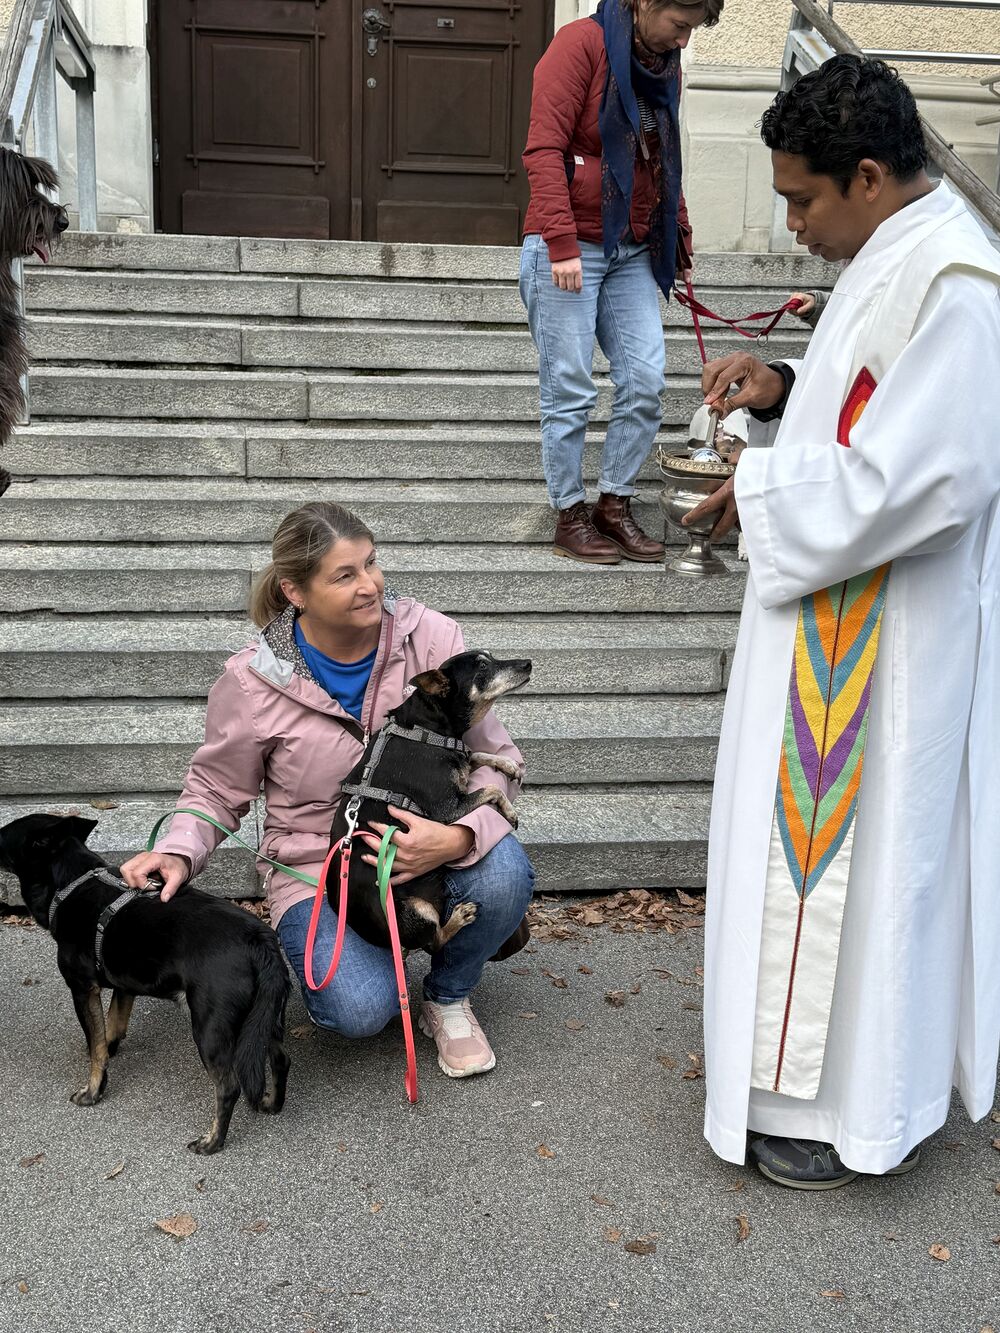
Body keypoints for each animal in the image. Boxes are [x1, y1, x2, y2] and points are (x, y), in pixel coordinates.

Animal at [0, 812, 291, 1154]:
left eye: (0, 835)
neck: (71, 882)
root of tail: (259, 940)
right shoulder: (124, 986)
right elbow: (111, 1028)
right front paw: (111, 1048)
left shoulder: (82, 988)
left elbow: (96, 1047)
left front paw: (93, 1090)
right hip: (261, 1018)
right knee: (280, 1059)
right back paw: (272, 1103)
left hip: (211, 1028)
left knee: (229, 1086)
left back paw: (212, 1141)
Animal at [329, 650, 532, 954]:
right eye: (483, 667)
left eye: (491, 657)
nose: (528, 663)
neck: (427, 729)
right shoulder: (448, 808)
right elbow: (492, 789)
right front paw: (509, 810)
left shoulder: (460, 762)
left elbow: (476, 755)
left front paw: (507, 763)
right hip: (416, 910)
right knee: (435, 942)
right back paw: (459, 917)